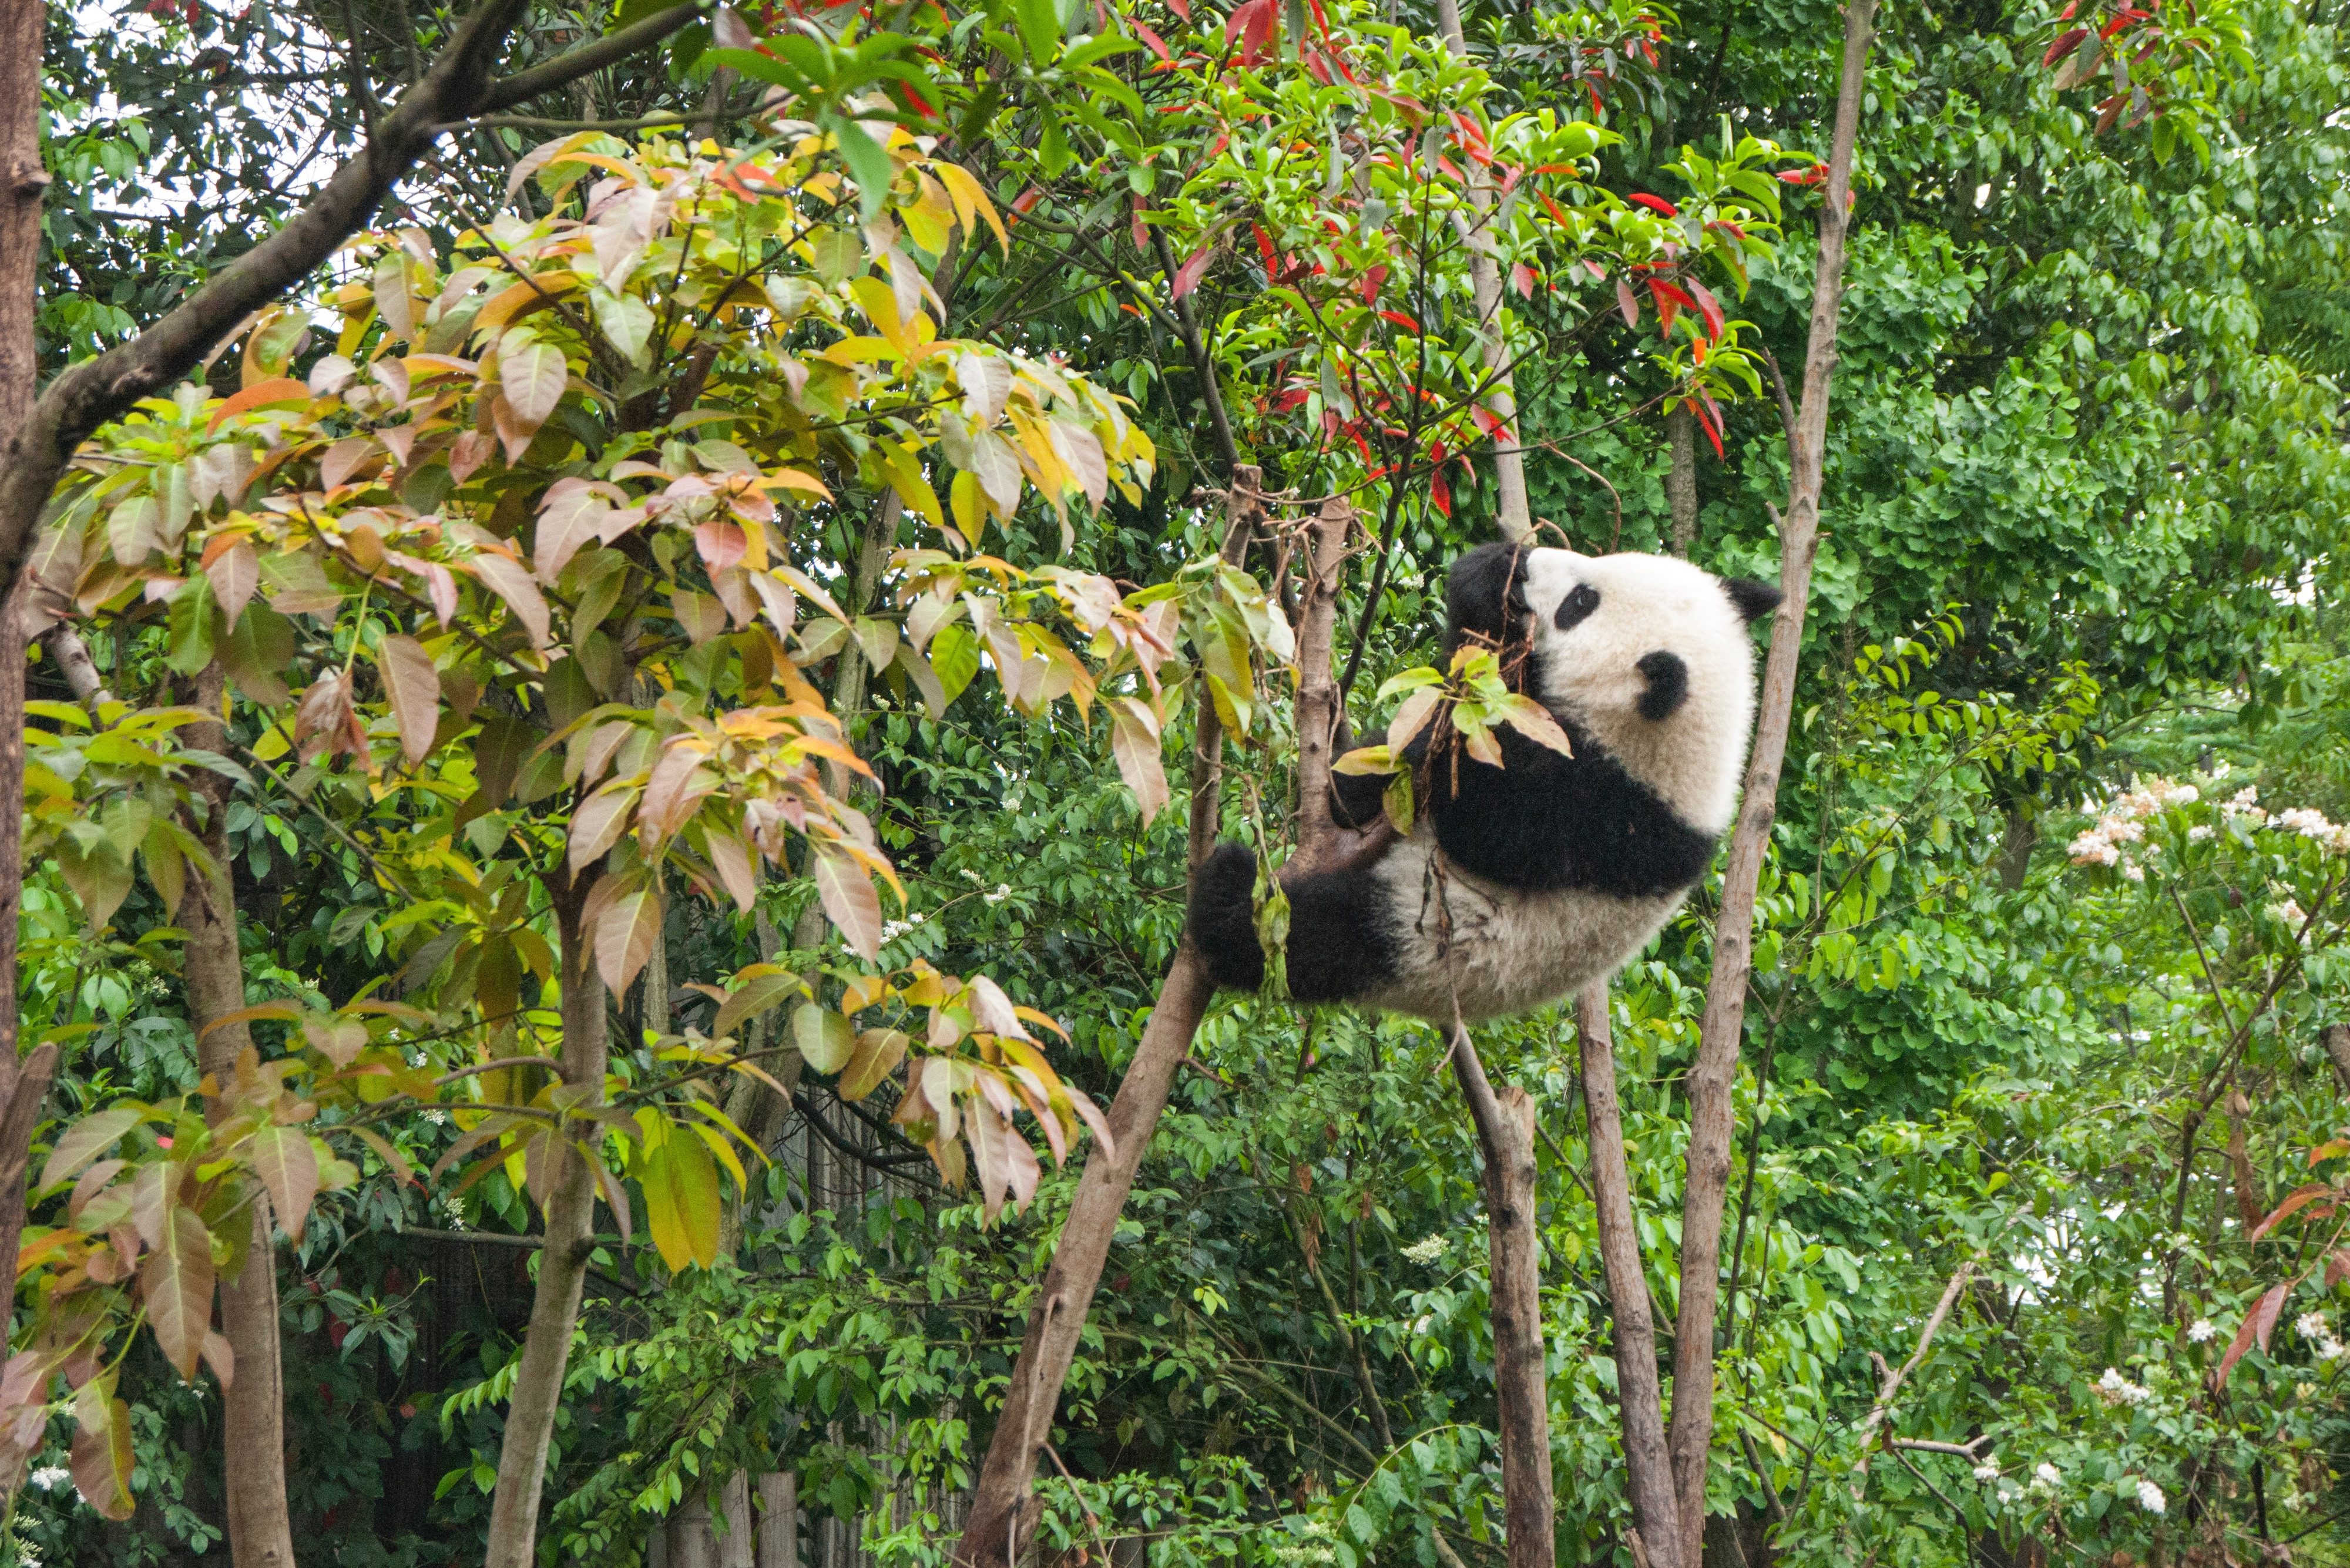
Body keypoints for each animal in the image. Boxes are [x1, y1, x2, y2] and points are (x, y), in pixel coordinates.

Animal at [1187, 542, 1780, 1024]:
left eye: (1581, 602)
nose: (1530, 560)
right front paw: (1488, 575)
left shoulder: (1606, 815)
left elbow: (1484, 822)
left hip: (1421, 939)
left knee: (1314, 937)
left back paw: (1228, 894)